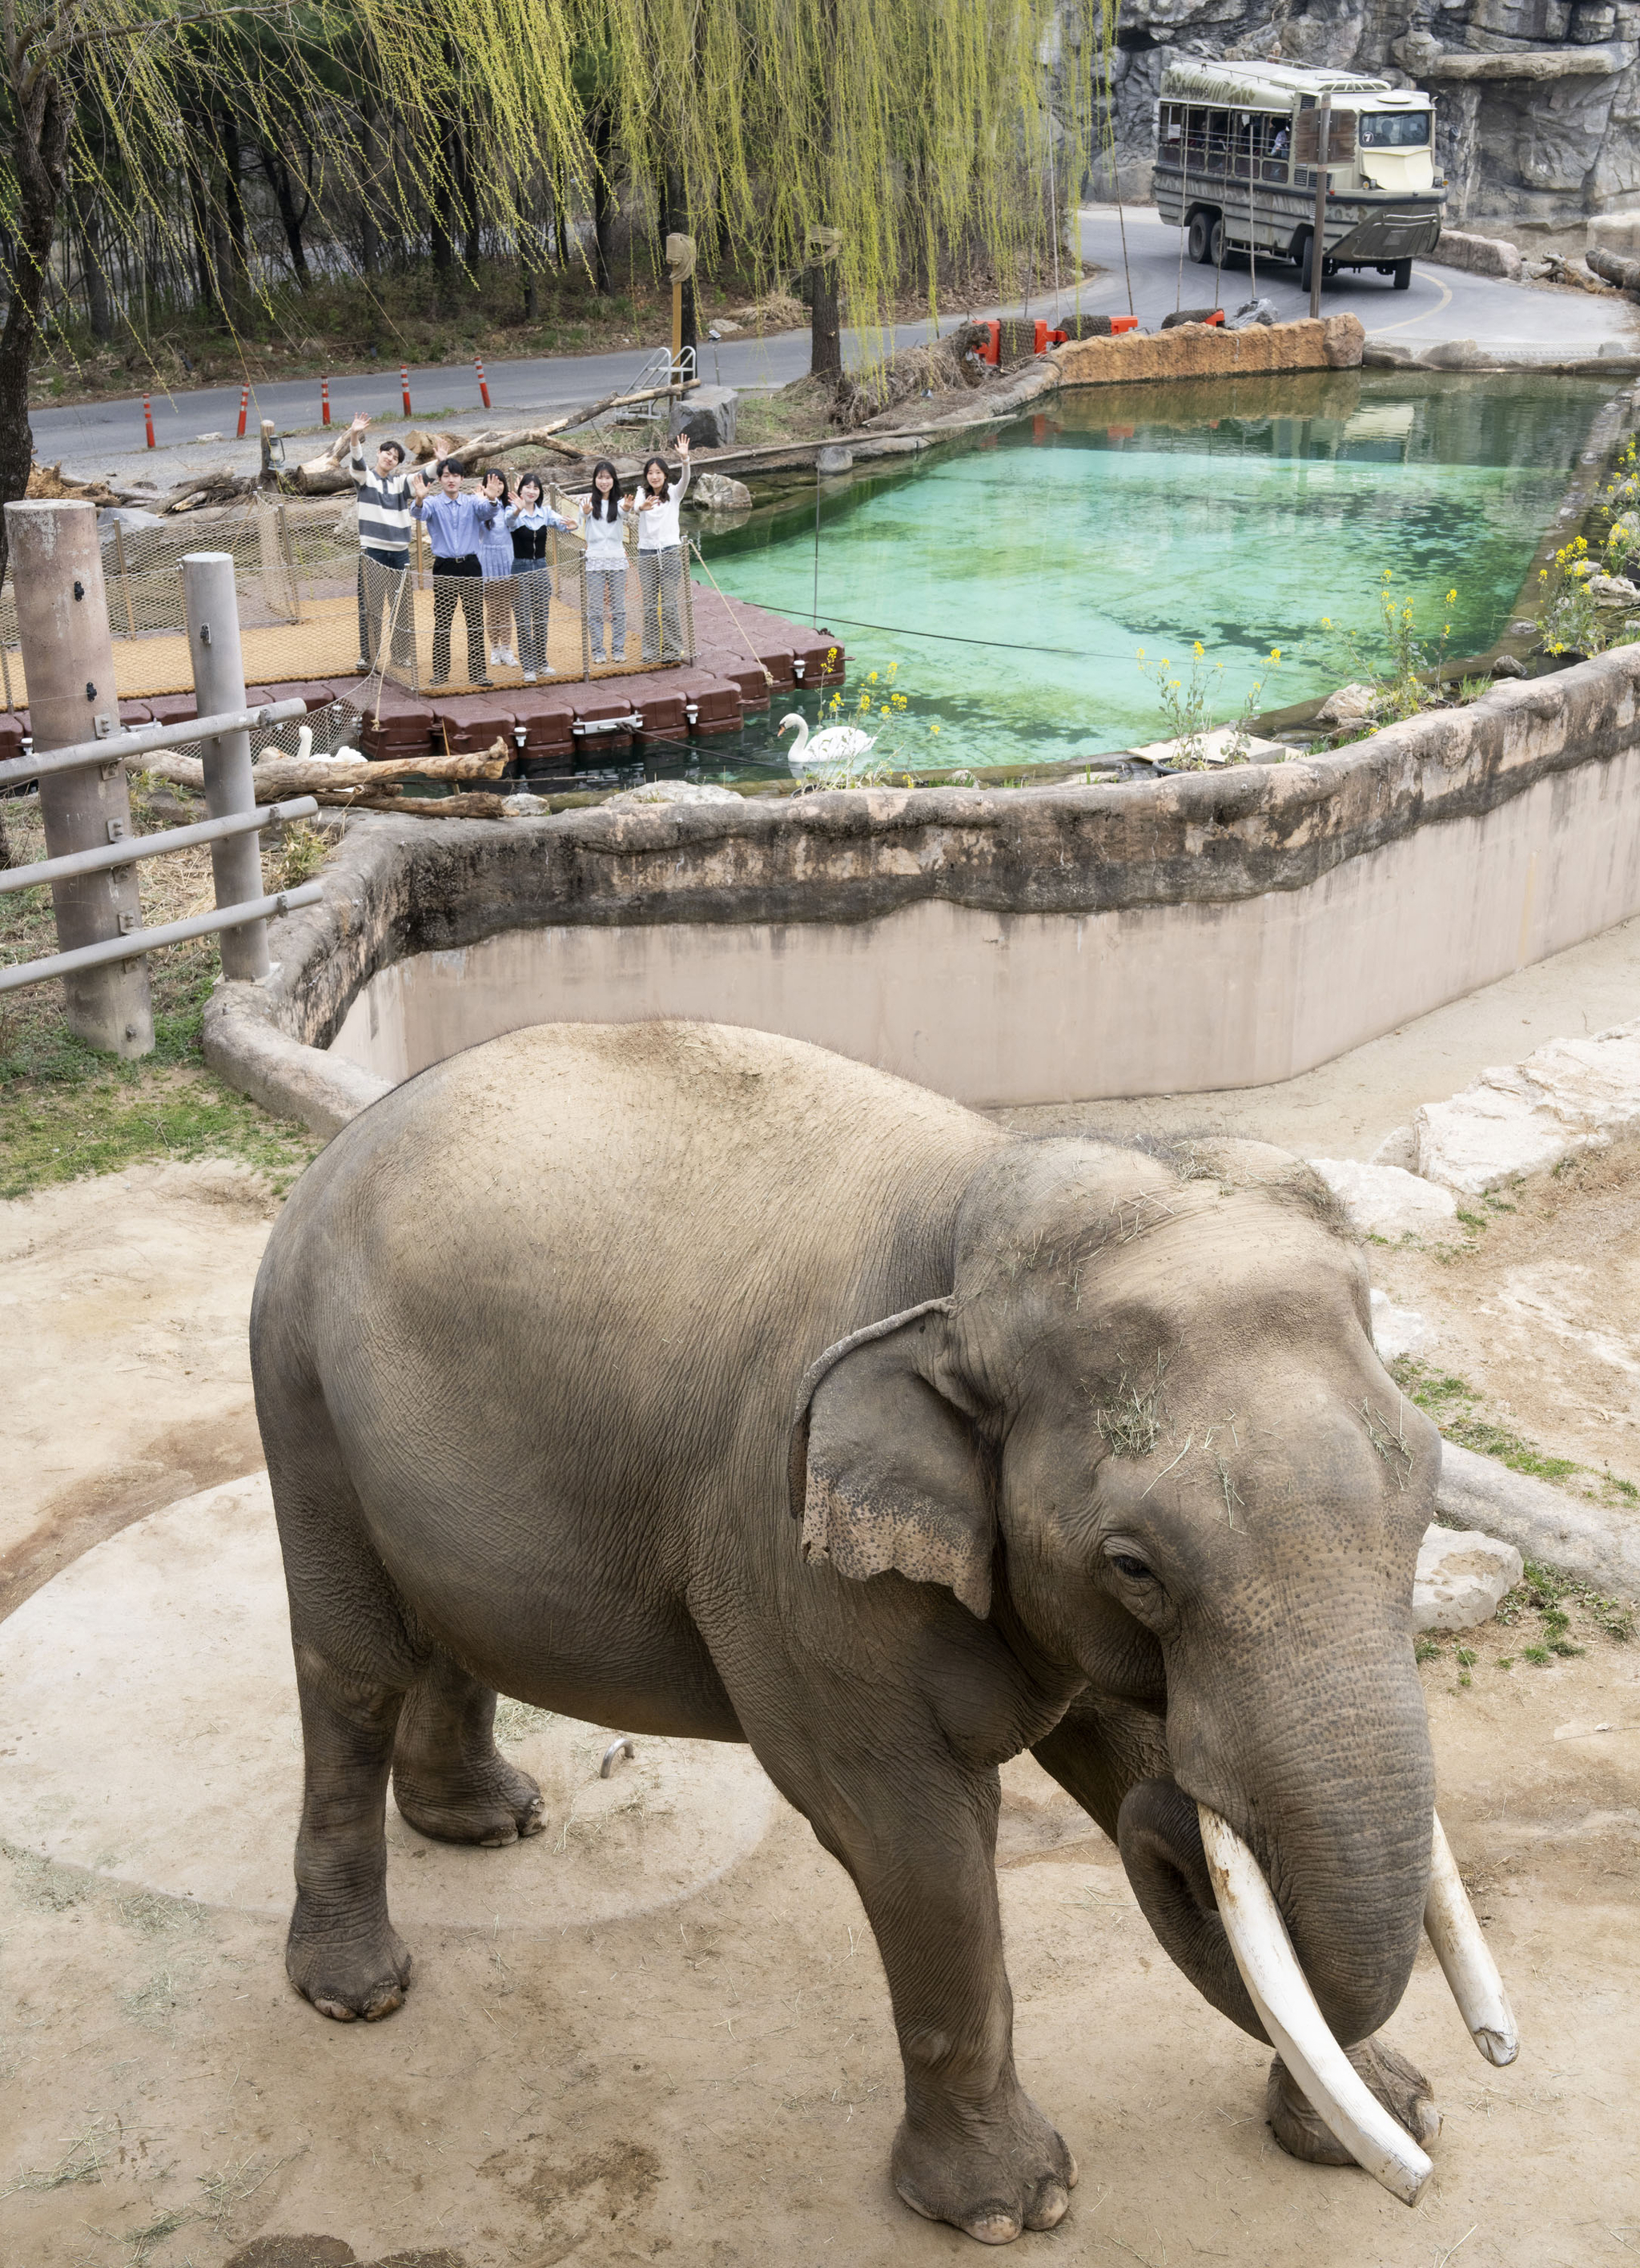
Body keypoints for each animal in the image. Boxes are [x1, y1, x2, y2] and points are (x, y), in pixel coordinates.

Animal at [251, 1018, 1514, 2244]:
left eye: (1427, 1496)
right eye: (1134, 1567)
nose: (1465, 2091)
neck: (962, 1222)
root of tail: (346, 1142)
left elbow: (1123, 1745)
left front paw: (1395, 2116)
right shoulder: (787, 1543)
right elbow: (906, 1832)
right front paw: (1009, 2210)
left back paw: (487, 1824)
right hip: (299, 1395)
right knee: (352, 1670)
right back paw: (357, 1989)